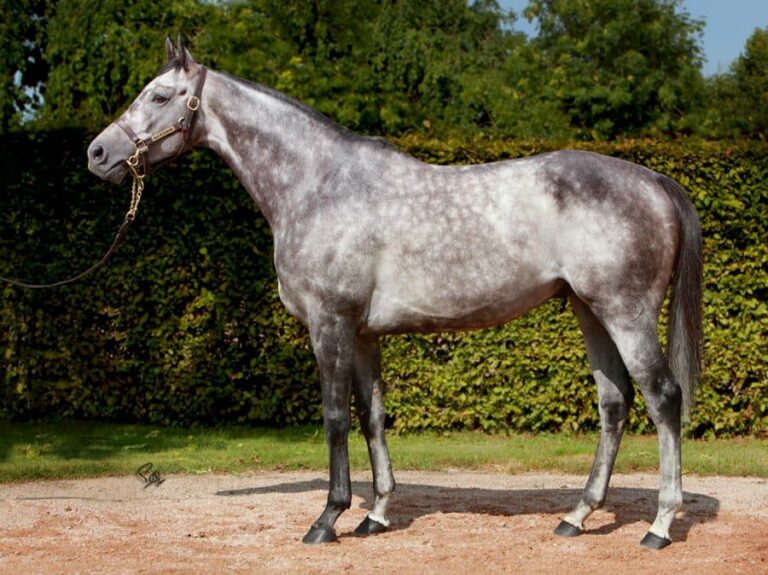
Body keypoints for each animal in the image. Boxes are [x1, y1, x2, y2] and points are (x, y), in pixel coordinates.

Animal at [87, 39, 702, 550]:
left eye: (159, 95)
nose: (97, 153)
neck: (318, 184)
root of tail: (653, 181)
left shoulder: (330, 325)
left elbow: (336, 417)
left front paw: (327, 519)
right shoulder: (362, 335)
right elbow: (372, 417)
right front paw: (375, 514)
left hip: (626, 313)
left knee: (663, 398)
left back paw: (659, 525)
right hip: (589, 311)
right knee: (615, 403)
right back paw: (577, 516)